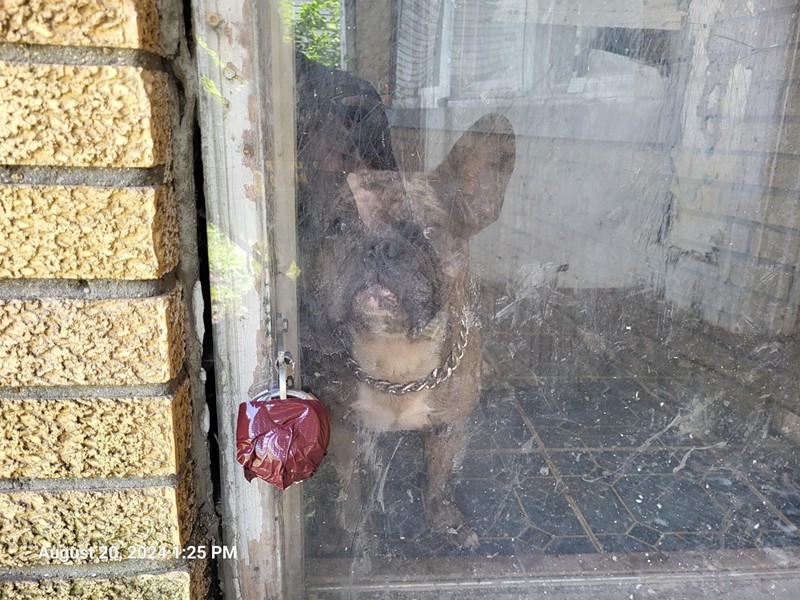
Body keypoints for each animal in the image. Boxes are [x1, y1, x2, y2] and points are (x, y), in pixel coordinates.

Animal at [296, 54, 516, 552]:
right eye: (340, 226)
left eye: (428, 231)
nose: (379, 246)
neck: (397, 359)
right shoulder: (346, 429)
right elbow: (351, 483)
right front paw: (352, 525)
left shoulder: (451, 427)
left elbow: (438, 477)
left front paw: (444, 517)